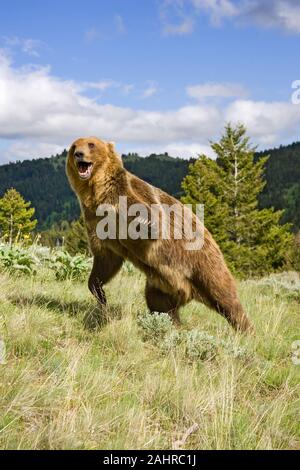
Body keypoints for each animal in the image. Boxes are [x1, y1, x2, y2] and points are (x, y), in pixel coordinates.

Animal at [67, 138, 252, 332]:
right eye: (74, 146)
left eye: (91, 144)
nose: (78, 154)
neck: (98, 193)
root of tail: (190, 291)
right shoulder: (95, 221)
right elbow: (105, 259)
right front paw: (100, 295)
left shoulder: (127, 195)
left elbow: (149, 216)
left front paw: (146, 223)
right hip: (161, 284)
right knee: (160, 304)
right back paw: (173, 325)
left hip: (203, 262)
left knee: (225, 296)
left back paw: (246, 330)